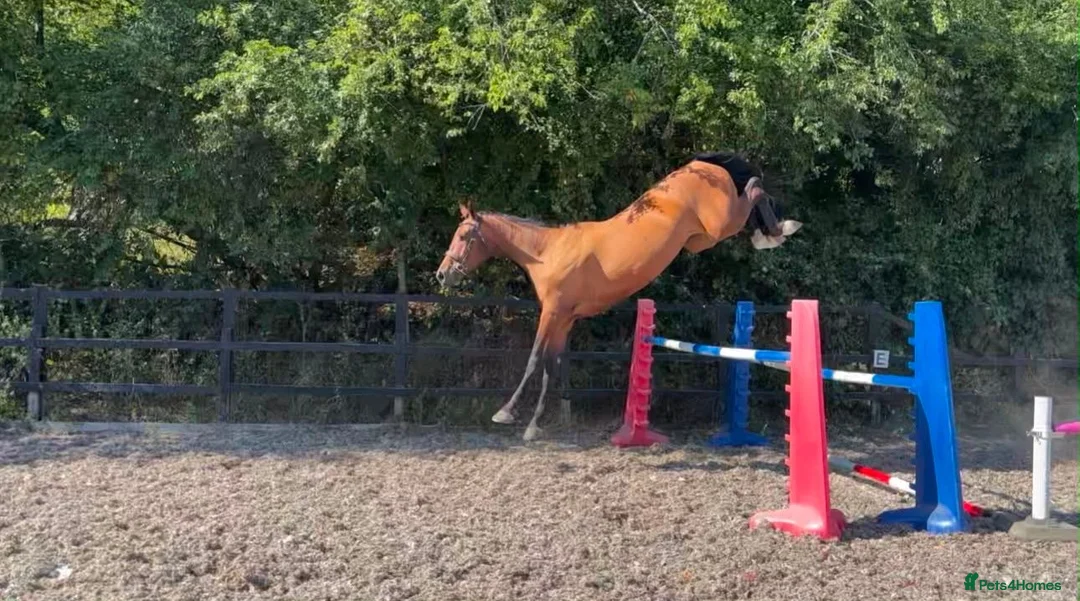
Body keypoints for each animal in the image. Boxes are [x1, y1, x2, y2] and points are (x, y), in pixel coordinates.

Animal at [434, 152, 802, 440]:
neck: (547, 252)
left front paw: (506, 413)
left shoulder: (551, 312)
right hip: (703, 240)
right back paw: (773, 232)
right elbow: (551, 367)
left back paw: (777, 231)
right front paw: (534, 426)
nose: (442, 273)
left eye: (463, 236)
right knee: (753, 194)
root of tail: (701, 164)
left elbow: (534, 360)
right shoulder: (564, 319)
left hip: (719, 225)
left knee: (753, 188)